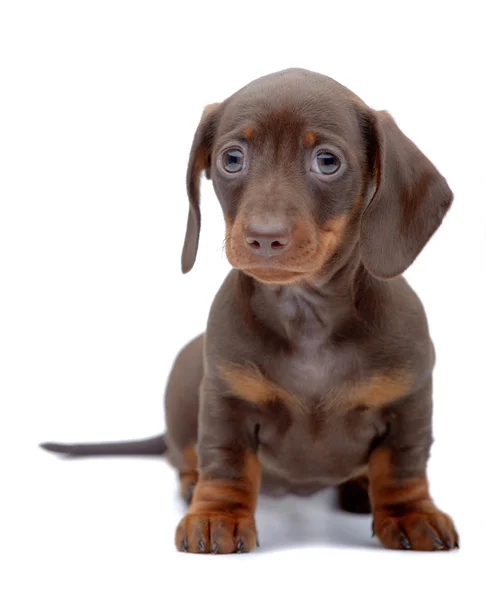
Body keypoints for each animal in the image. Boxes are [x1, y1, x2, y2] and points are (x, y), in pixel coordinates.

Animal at [41, 69, 460, 552]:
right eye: (232, 159)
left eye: (327, 161)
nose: (264, 236)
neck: (306, 315)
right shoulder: (227, 402)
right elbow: (226, 462)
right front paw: (217, 515)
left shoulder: (409, 402)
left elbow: (402, 466)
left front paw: (411, 514)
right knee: (184, 454)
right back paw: (192, 484)